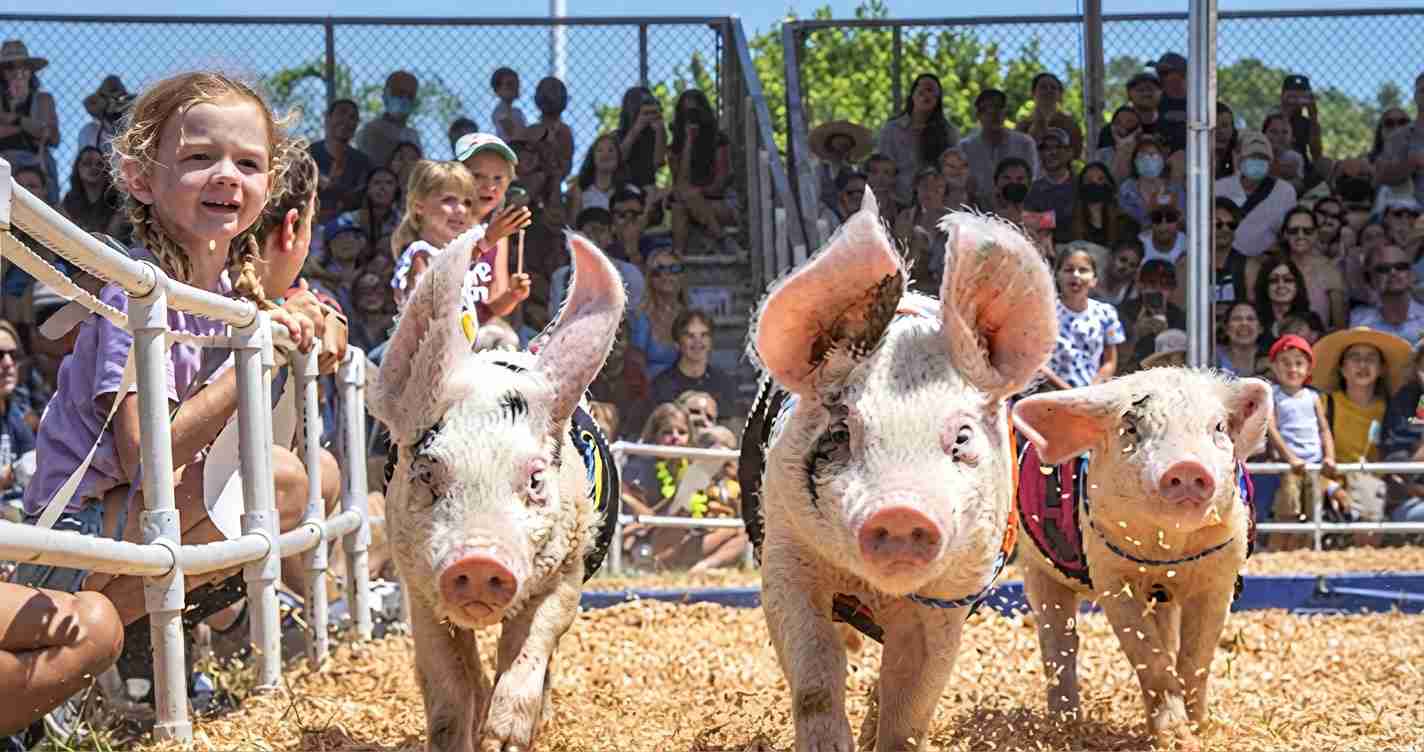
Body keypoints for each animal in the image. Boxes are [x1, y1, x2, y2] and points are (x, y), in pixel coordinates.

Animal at [367, 229, 626, 752]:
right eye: (427, 473)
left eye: (535, 479)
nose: (480, 560)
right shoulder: (416, 585)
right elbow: (448, 682)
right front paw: (459, 737)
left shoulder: (566, 573)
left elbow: (528, 651)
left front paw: (503, 741)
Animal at [742, 192, 1058, 752]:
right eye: (841, 432)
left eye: (961, 437)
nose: (901, 510)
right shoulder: (785, 553)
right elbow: (815, 677)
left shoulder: (952, 595)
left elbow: (912, 697)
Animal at [1011, 368, 1271, 750]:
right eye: (1131, 427)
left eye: (1219, 426)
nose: (1187, 466)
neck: (1168, 553)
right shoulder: (1110, 575)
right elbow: (1149, 655)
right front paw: (1176, 739)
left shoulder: (1221, 575)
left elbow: (1197, 657)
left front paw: (1199, 731)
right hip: (1036, 566)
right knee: (1059, 640)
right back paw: (1065, 725)